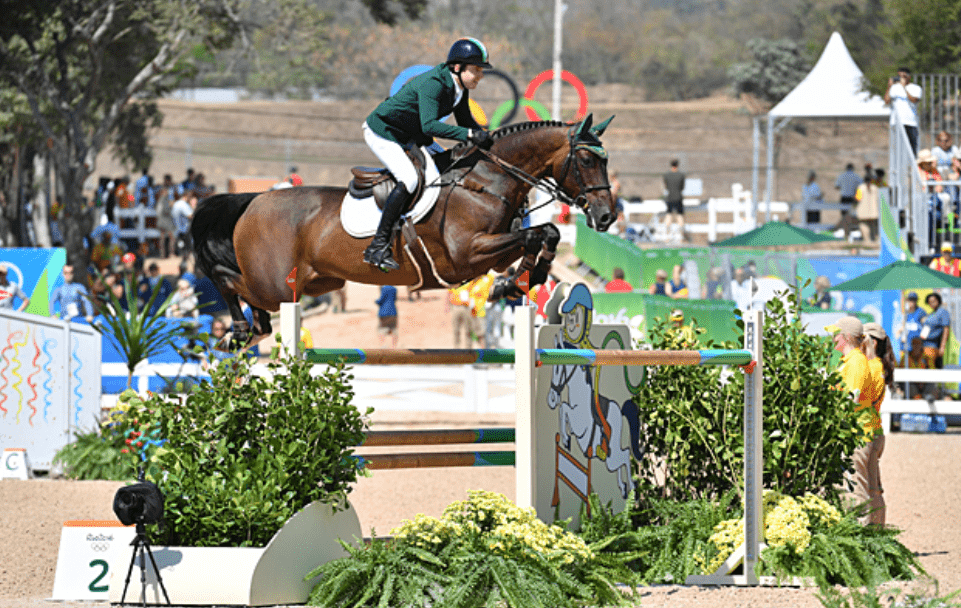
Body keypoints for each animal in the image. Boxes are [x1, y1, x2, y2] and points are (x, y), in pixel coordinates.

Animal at [191, 115, 617, 347]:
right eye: (585, 160)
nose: (607, 217)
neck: (485, 180)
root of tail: (253, 200)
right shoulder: (466, 255)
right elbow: (537, 233)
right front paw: (515, 283)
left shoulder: (491, 253)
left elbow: (546, 234)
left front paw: (515, 283)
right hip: (274, 283)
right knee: (229, 281)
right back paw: (239, 329)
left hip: (316, 282)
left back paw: (249, 329)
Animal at [545, 334, 642, 499]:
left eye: (558, 368)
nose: (551, 399)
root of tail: (620, 411)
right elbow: (563, 409)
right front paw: (566, 438)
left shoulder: (580, 425)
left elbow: (564, 408)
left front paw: (566, 439)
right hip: (610, 457)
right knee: (621, 457)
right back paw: (623, 488)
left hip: (611, 457)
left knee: (625, 455)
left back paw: (631, 487)